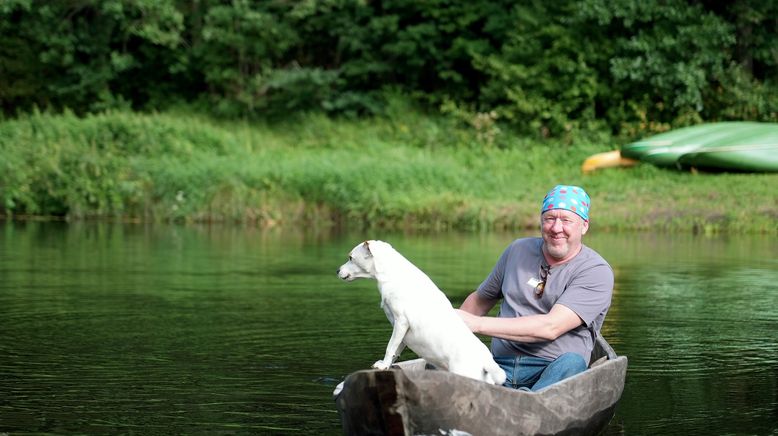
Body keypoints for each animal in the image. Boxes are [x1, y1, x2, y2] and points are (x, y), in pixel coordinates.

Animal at [336, 238, 506, 384]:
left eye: (351, 257)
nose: (337, 270)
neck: (391, 274)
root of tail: (486, 362)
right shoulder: (401, 330)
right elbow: (397, 348)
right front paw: (387, 365)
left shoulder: (401, 321)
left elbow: (390, 346)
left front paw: (383, 365)